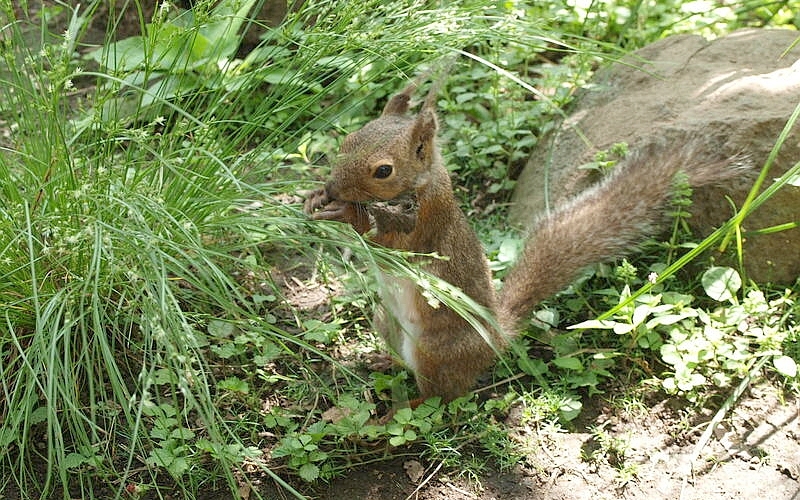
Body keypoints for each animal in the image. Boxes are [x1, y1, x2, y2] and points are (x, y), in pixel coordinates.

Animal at [304, 77, 748, 406]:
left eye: (384, 170)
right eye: (347, 140)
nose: (332, 186)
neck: (424, 182)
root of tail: (496, 339)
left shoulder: (427, 223)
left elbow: (390, 242)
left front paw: (347, 213)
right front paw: (315, 197)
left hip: (435, 350)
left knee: (440, 397)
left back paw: (390, 418)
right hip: (386, 321)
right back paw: (384, 362)